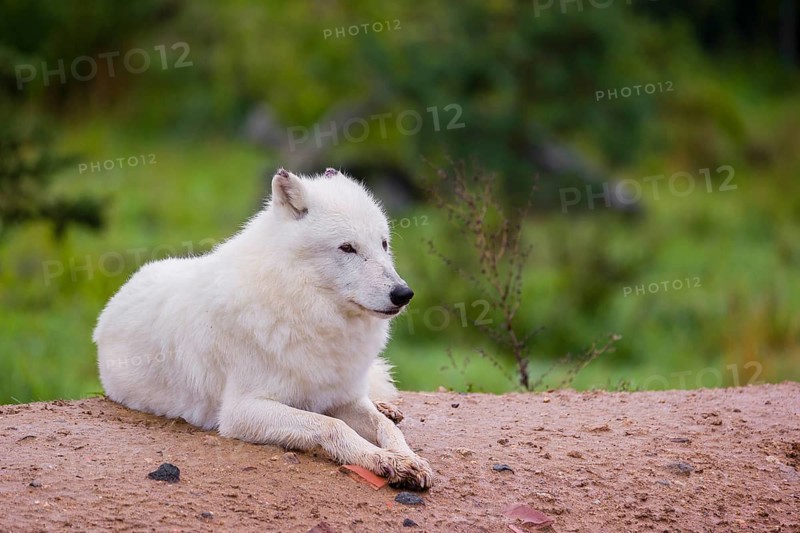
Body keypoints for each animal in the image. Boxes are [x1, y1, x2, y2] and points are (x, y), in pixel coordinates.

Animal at [93, 168, 433, 490]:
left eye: (384, 244)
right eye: (347, 248)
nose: (404, 294)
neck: (302, 311)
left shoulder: (343, 397)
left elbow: (384, 428)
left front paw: (407, 459)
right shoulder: (241, 412)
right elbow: (331, 425)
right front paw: (383, 460)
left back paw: (387, 406)